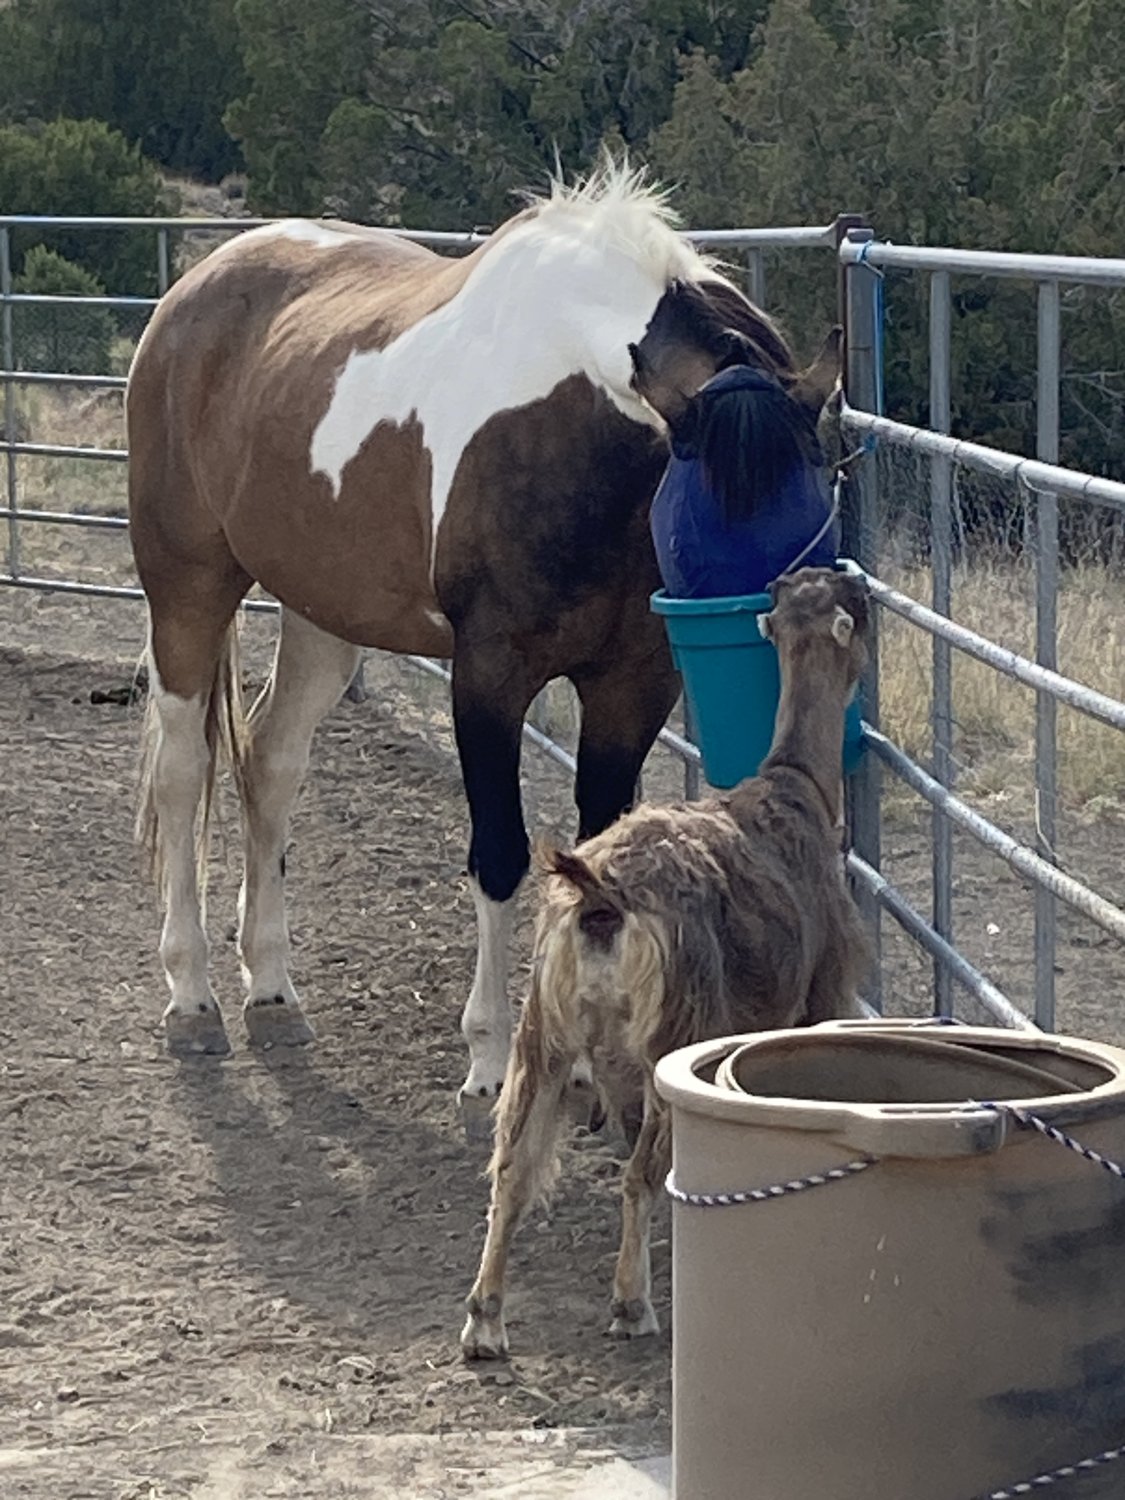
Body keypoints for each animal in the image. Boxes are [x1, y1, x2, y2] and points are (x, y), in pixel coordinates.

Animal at [126, 158, 840, 1123]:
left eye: (813, 512)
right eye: (697, 524)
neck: (573, 423)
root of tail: (194, 289)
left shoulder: (630, 684)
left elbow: (595, 855)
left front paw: (580, 1074)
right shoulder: (489, 678)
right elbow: (499, 856)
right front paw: (492, 1065)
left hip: (320, 611)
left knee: (268, 762)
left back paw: (271, 994)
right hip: (187, 587)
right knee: (182, 770)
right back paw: (192, 999)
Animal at [461, 566, 873, 1360]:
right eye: (857, 611)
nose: (847, 573)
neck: (795, 786)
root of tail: (599, 899)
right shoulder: (822, 994)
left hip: (544, 1035)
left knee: (512, 1169)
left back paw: (485, 1322)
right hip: (669, 1034)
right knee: (638, 1174)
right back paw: (632, 1305)